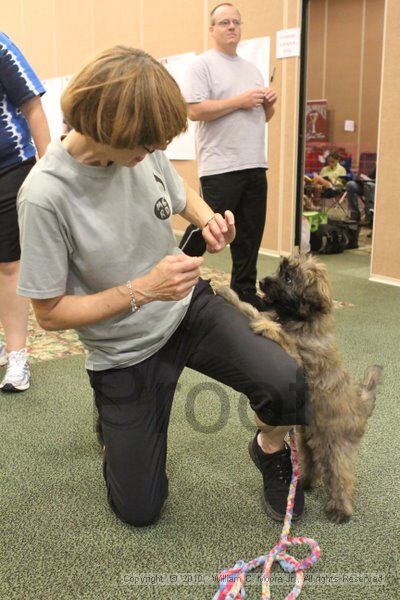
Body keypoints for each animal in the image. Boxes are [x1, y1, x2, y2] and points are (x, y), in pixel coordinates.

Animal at [216, 255, 382, 524]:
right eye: (280, 271)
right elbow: (252, 310)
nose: (263, 281)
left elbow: (283, 337)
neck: (302, 322)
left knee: (343, 477)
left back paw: (340, 509)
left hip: (337, 445)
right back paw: (302, 482)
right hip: (309, 439)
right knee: (313, 464)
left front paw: (267, 327)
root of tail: (361, 403)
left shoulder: (299, 362)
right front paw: (229, 295)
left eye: (289, 279)